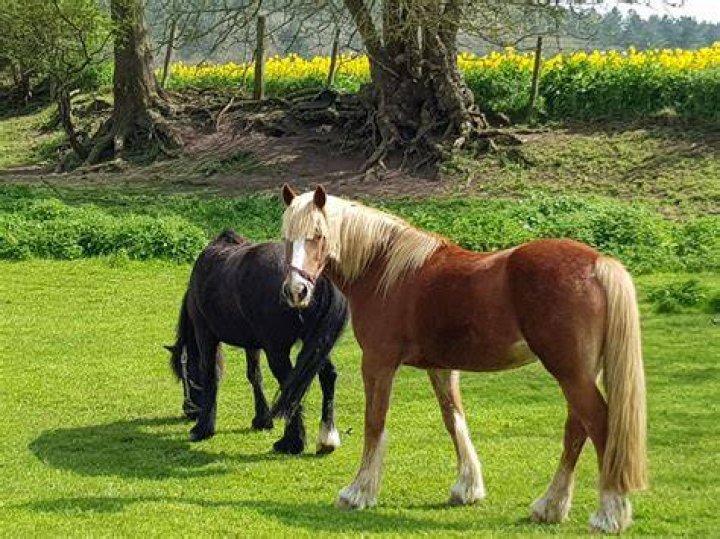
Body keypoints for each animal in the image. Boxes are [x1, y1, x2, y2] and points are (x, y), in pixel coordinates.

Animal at [166, 229, 348, 454]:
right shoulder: (252, 343)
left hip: (278, 351)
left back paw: (291, 442)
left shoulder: (204, 333)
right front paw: (262, 419)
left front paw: (203, 428)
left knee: (290, 387)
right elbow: (254, 375)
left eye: (185, 375)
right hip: (317, 345)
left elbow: (210, 374)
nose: (189, 410)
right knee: (327, 376)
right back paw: (326, 439)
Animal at [274, 185, 647, 533]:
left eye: (318, 235)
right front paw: (467, 488)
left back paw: (609, 514)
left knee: (600, 426)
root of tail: (598, 264)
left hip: (570, 373)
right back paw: (550, 507)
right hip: (579, 374)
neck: (383, 269)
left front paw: (358, 493)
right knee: (576, 429)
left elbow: (374, 424)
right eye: (287, 238)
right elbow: (454, 419)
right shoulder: (441, 367)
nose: (296, 291)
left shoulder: (379, 364)